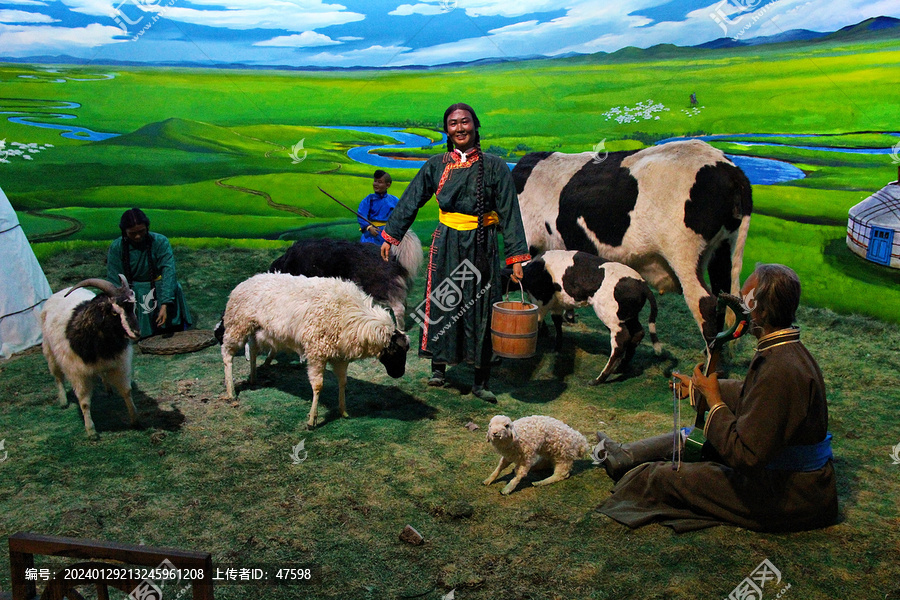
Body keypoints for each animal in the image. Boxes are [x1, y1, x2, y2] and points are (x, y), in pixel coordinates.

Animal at [40, 276, 141, 436]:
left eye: (133, 307)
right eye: (114, 312)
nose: (136, 333)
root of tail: (59, 292)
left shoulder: (119, 364)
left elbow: (127, 392)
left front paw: (135, 419)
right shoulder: (77, 373)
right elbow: (85, 403)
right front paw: (91, 431)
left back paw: (108, 388)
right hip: (49, 352)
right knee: (57, 377)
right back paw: (63, 401)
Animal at [220, 274, 410, 428]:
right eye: (396, 351)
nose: (399, 374)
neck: (354, 318)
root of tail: (245, 282)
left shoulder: (340, 357)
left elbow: (343, 382)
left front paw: (343, 411)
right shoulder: (316, 352)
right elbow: (318, 386)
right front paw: (312, 419)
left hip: (255, 329)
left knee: (252, 350)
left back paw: (253, 378)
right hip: (238, 325)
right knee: (227, 354)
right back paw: (231, 392)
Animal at [506, 250, 660, 384]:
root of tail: (642, 284)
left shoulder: (540, 302)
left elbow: (538, 324)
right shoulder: (557, 304)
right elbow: (557, 323)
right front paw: (557, 348)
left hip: (611, 318)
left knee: (621, 341)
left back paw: (599, 379)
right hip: (629, 316)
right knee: (638, 333)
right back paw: (620, 367)